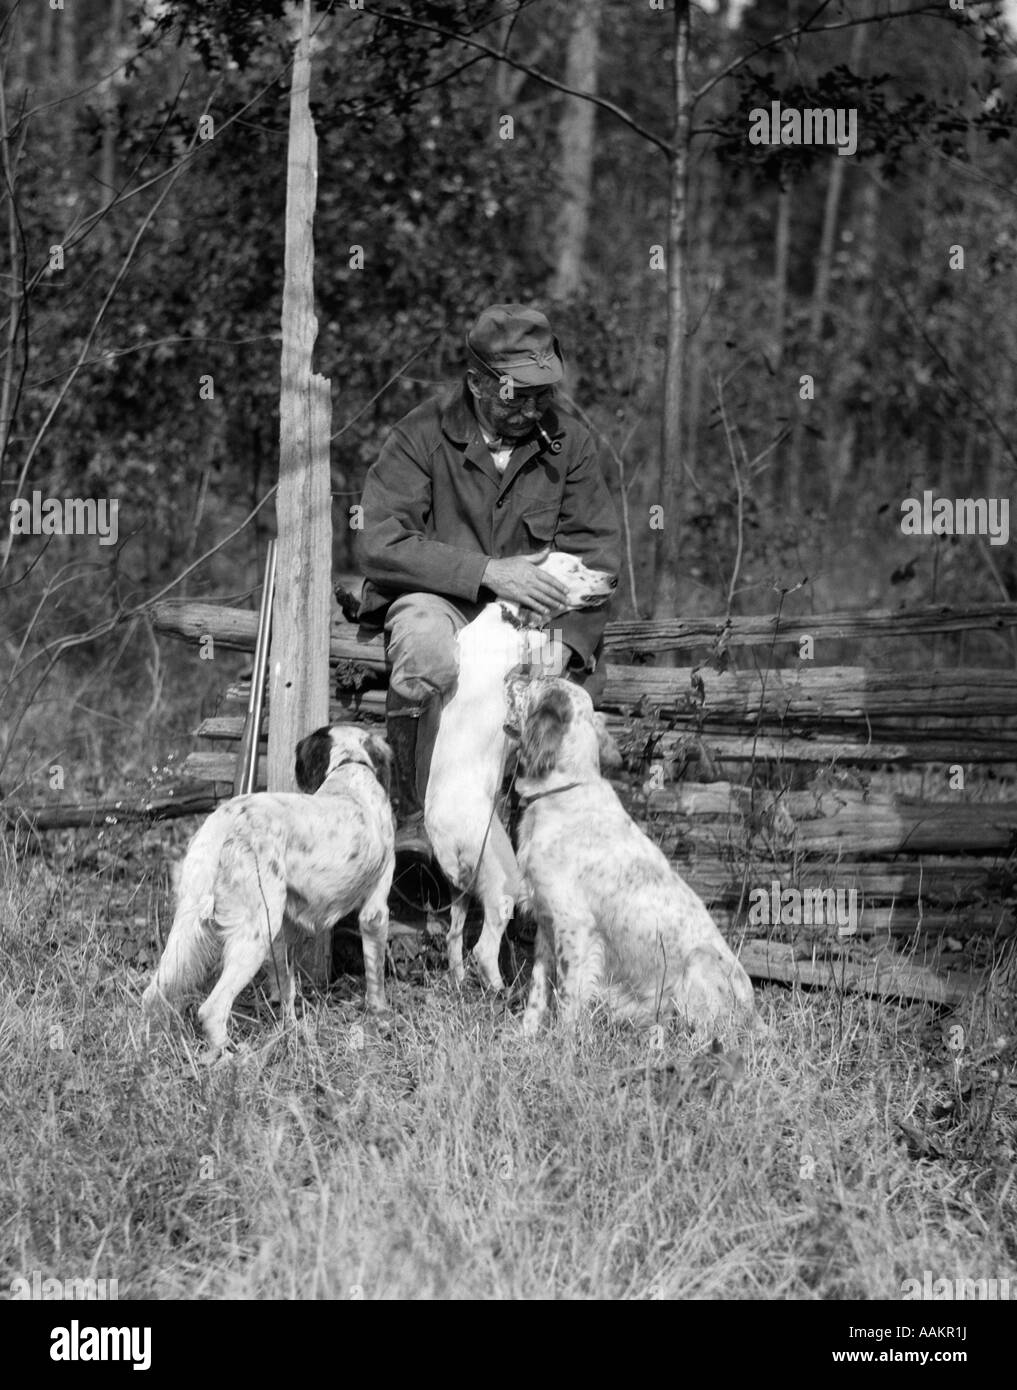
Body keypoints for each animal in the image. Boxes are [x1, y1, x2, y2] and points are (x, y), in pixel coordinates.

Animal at [141, 722, 394, 1056]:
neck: (348, 768)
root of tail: (225, 819)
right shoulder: (374, 912)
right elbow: (375, 977)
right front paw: (380, 1018)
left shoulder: (285, 932)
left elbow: (287, 990)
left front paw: (292, 1032)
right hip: (255, 932)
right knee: (212, 1008)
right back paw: (231, 1056)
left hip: (192, 925)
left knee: (152, 994)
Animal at [425, 544, 616, 989]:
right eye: (575, 568)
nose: (612, 579)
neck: (509, 620)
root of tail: (442, 833)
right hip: (503, 882)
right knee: (483, 948)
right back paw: (499, 991)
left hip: (463, 891)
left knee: (455, 937)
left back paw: (460, 982)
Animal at [508, 672, 755, 1034]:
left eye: (533, 682)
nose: (510, 675)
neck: (562, 793)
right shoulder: (545, 924)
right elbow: (538, 991)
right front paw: (526, 1038)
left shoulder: (574, 927)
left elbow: (567, 998)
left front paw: (562, 1042)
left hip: (698, 963)